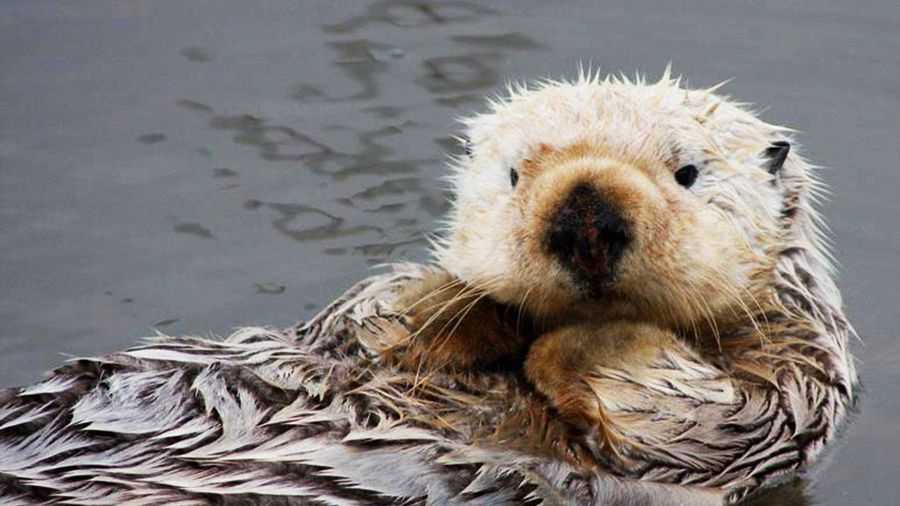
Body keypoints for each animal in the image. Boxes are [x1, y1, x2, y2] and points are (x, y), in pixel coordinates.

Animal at [0, 72, 856, 506]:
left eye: (688, 172)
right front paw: (450, 310)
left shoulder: (792, 389)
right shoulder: (347, 329)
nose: (586, 217)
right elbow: (369, 315)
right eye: (513, 173)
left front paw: (583, 339)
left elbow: (711, 413)